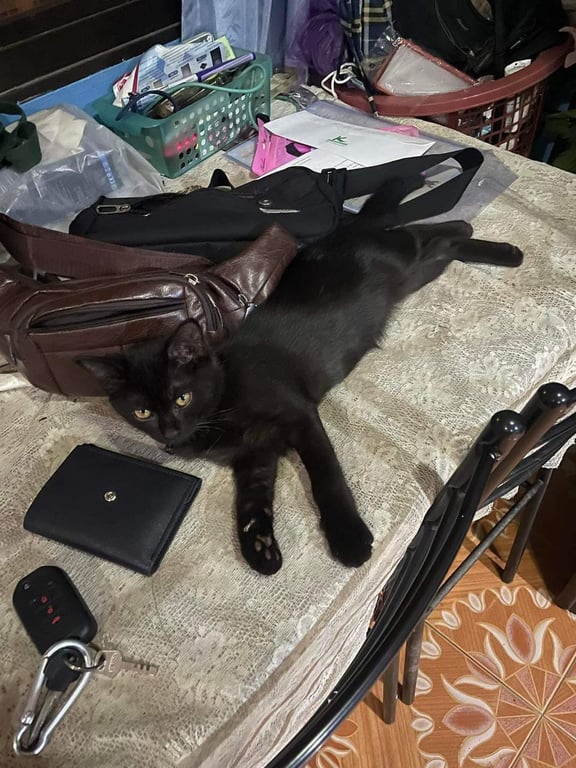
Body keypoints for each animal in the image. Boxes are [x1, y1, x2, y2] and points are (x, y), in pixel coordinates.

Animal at [79, 177, 523, 575]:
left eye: (181, 397)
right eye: (142, 413)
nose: (170, 430)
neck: (222, 402)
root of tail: (345, 230)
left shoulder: (299, 415)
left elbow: (326, 477)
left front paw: (349, 538)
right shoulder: (254, 455)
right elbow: (251, 501)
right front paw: (259, 546)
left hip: (401, 261)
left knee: (420, 235)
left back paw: (505, 250)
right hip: (410, 277)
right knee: (438, 244)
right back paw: (470, 232)